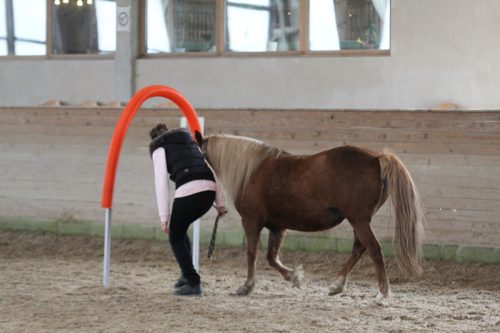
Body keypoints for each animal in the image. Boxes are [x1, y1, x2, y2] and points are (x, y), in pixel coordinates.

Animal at [197, 132, 424, 304]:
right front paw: (294, 277)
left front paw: (247, 287)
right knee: (359, 249)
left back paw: (382, 294)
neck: (253, 170)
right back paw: (337, 285)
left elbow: (252, 254)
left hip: (359, 221)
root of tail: (376, 158)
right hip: (358, 222)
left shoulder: (251, 221)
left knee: (374, 250)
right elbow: (272, 257)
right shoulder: (278, 227)